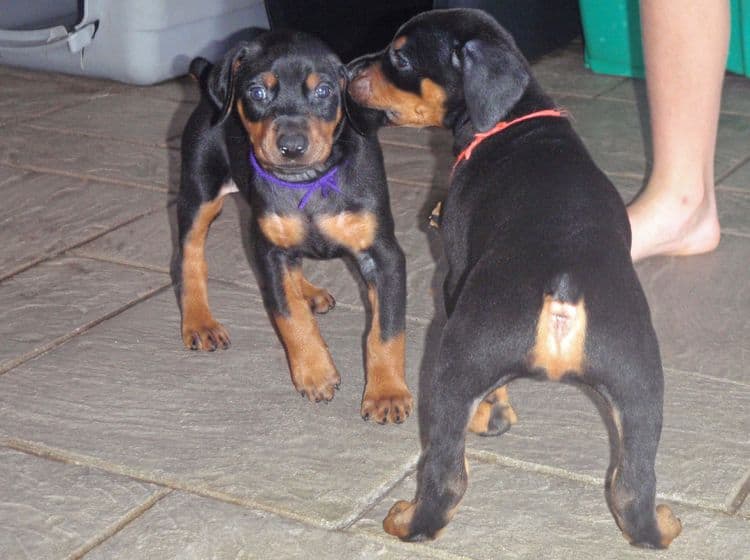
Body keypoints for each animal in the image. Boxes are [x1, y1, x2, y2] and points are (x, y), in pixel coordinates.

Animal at [174, 29, 414, 424]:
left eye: (324, 91)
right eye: (257, 92)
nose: (291, 146)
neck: (308, 180)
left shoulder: (384, 255)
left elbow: (386, 330)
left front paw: (387, 394)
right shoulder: (269, 252)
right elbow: (290, 315)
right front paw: (316, 373)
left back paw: (309, 291)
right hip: (198, 192)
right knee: (189, 257)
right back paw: (199, 322)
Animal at [350, 7, 684, 548]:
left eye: (399, 57)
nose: (348, 71)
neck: (513, 116)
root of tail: (565, 289)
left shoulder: (454, 276)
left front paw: (493, 413)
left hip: (456, 363)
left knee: (445, 476)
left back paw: (408, 518)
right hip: (639, 384)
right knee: (633, 485)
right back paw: (662, 526)